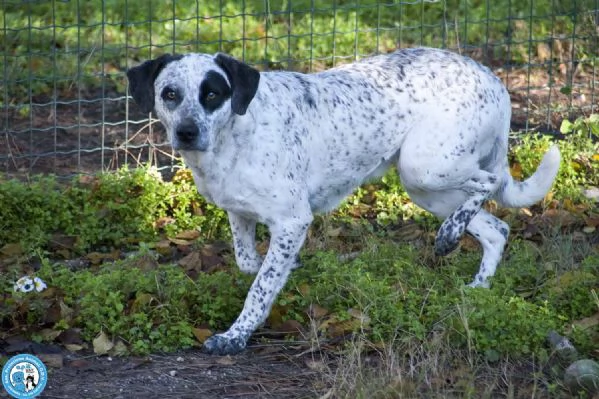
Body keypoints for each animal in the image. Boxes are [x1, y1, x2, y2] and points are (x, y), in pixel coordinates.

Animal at [127, 47, 564, 356]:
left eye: (213, 94)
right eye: (170, 94)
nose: (186, 132)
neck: (235, 134)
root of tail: (494, 79)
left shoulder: (293, 220)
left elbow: (260, 286)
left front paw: (236, 335)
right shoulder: (240, 213)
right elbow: (250, 263)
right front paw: (288, 271)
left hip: (425, 167)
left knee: (490, 182)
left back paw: (449, 235)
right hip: (426, 187)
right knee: (497, 228)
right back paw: (477, 285)